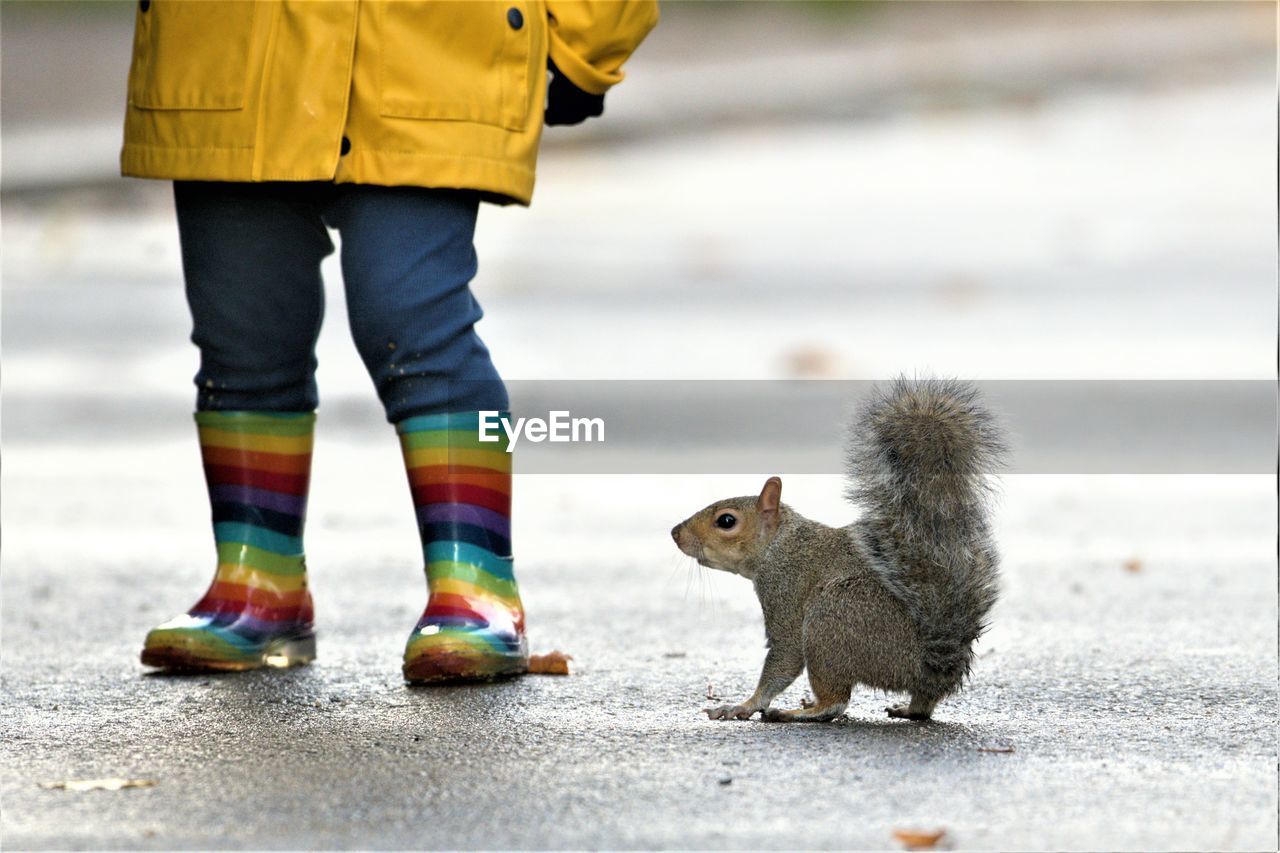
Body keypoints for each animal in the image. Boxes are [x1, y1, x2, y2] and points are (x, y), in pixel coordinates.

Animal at [670, 379, 1008, 717]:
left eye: (726, 521)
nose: (675, 533)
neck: (780, 544)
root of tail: (931, 664)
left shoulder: (784, 589)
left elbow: (786, 653)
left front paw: (744, 705)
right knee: (921, 705)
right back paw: (909, 708)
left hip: (830, 620)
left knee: (835, 703)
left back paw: (798, 712)